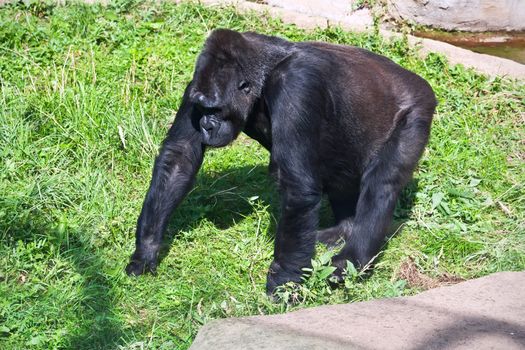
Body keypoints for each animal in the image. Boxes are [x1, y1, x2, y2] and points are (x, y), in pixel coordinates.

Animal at [125, 28, 436, 294]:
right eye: (201, 108)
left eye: (214, 109)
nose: (205, 126)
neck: (265, 74)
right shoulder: (196, 81)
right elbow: (179, 157)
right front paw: (146, 251)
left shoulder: (297, 86)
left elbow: (298, 188)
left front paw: (285, 280)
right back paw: (343, 230)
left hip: (418, 108)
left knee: (382, 184)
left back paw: (351, 261)